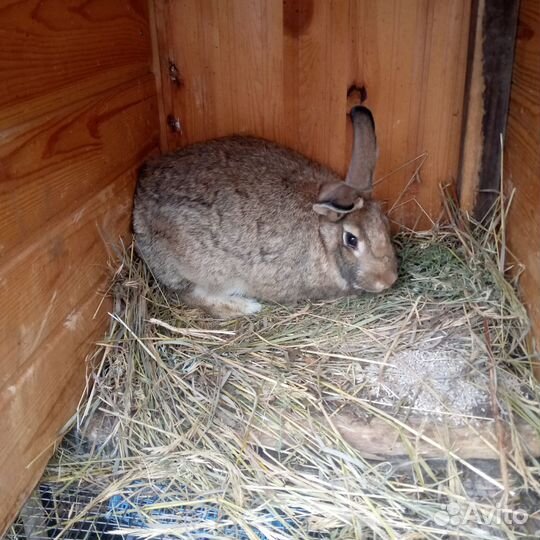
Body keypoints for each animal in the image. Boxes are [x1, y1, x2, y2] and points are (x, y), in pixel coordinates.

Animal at [134, 105, 396, 316]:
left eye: (385, 222)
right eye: (351, 240)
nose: (388, 280)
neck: (322, 236)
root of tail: (139, 201)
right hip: (200, 270)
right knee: (190, 295)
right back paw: (246, 306)